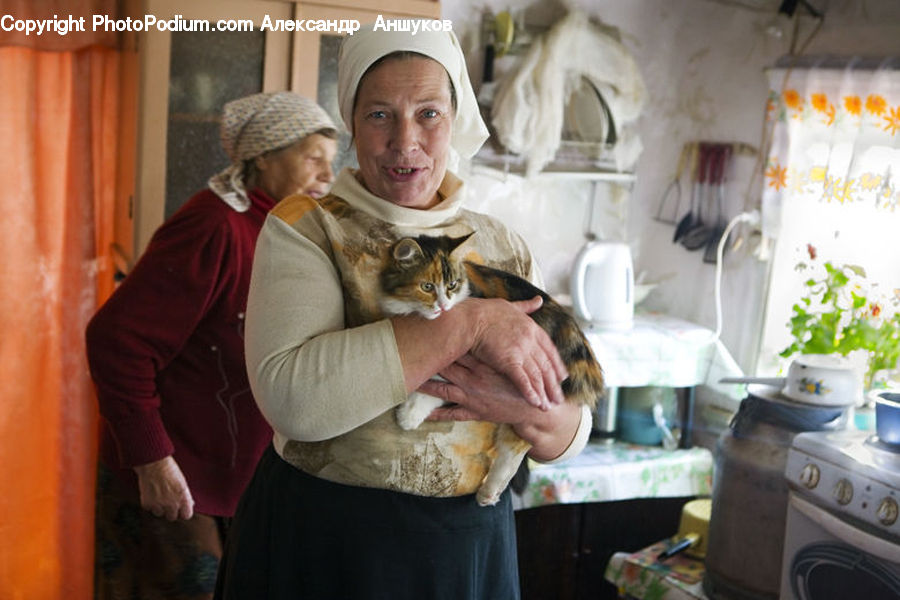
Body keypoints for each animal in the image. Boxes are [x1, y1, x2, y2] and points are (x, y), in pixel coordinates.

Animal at [376, 234, 600, 506]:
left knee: (515, 447)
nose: (443, 306)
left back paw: (489, 491)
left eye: (451, 285)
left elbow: (438, 378)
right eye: (427, 287)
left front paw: (410, 413)